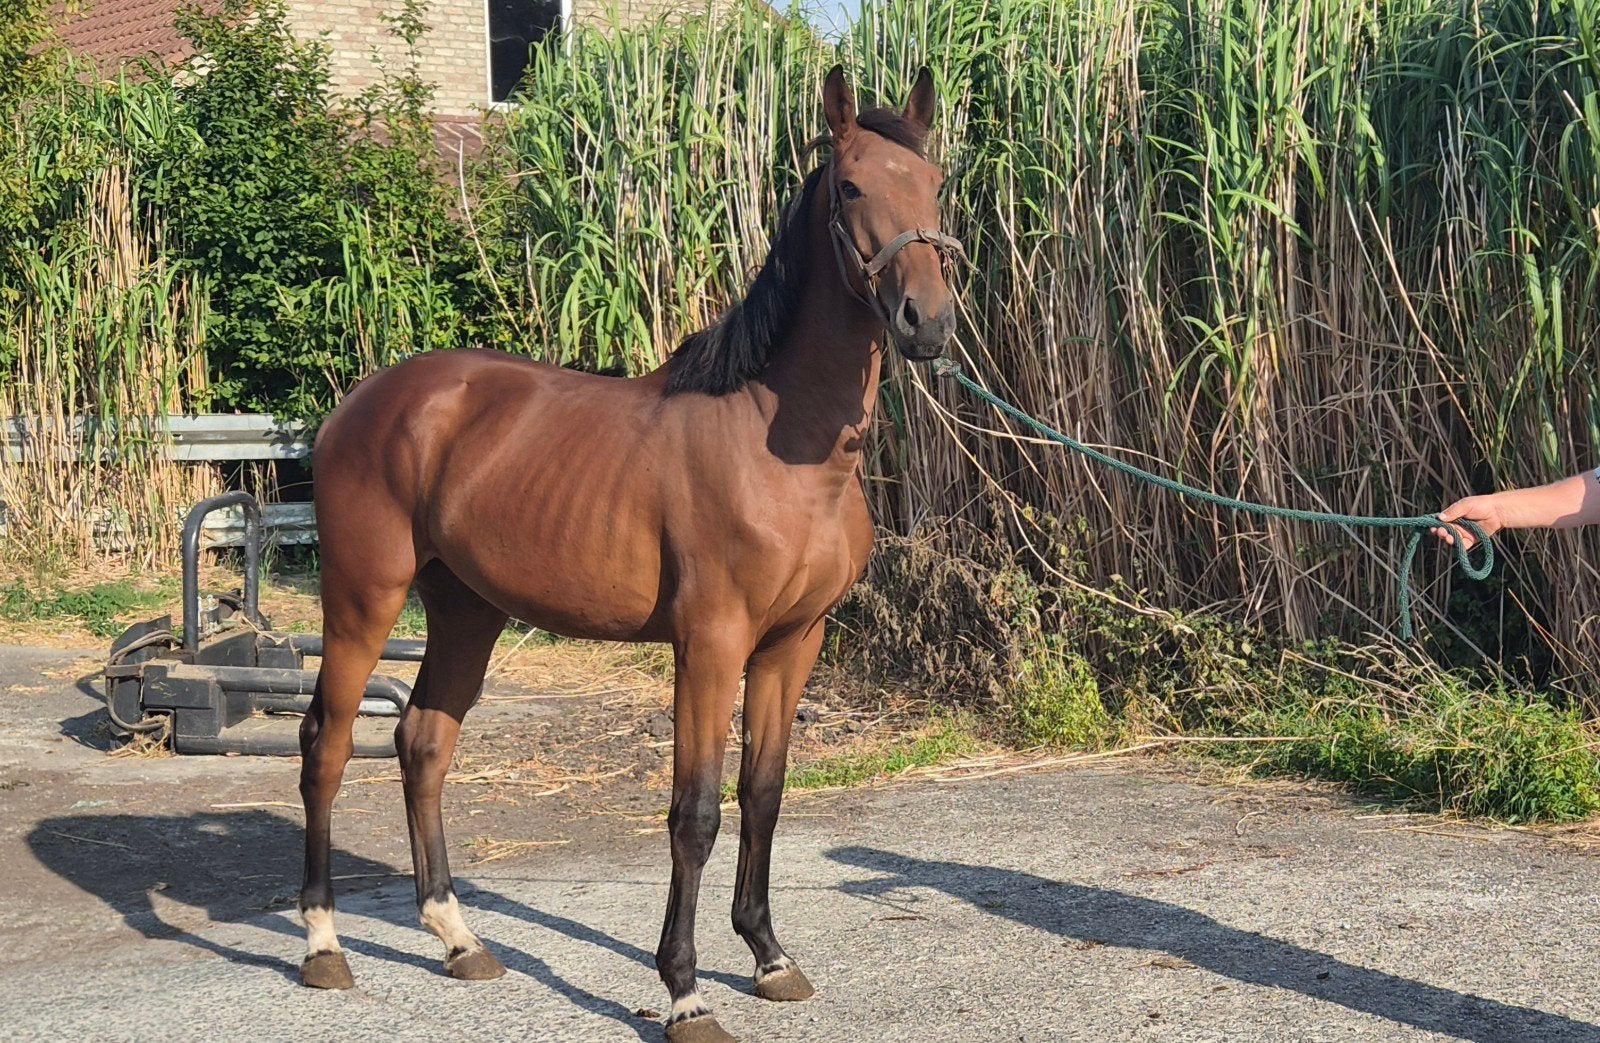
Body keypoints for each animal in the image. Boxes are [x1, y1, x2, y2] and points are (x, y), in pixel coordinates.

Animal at [296, 65, 962, 1043]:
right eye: (849, 188)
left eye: (936, 183)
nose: (925, 321)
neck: (780, 444)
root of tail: (367, 399)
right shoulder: (710, 642)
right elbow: (695, 811)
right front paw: (685, 992)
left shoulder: (792, 643)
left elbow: (763, 793)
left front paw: (769, 957)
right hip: (362, 601)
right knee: (327, 744)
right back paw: (322, 944)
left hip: (466, 609)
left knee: (423, 742)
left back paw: (459, 939)